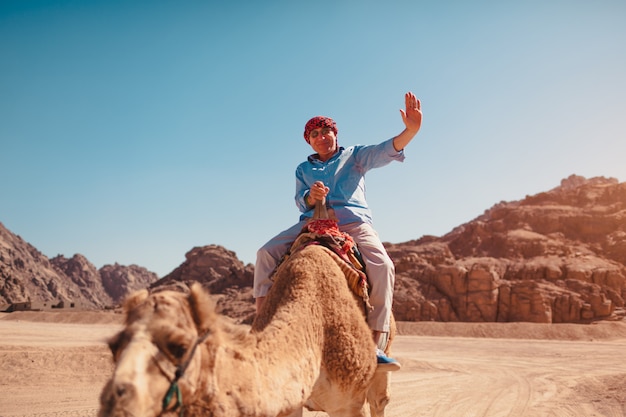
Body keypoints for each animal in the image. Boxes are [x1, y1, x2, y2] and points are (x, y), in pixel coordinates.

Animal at [99, 242, 392, 414]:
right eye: (113, 347)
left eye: (180, 347)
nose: (114, 404)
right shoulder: (289, 402)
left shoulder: (351, 401)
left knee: (380, 400)